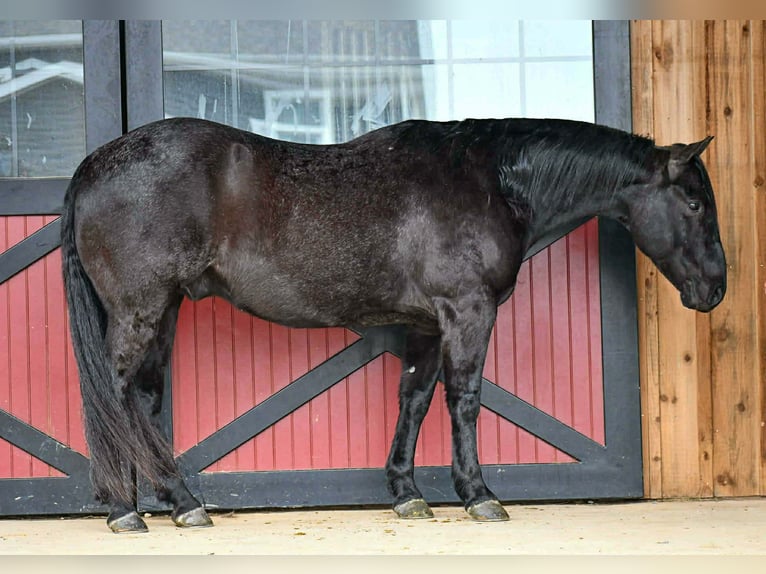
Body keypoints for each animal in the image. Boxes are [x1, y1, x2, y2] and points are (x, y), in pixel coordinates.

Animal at [61, 116, 726, 533]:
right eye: (694, 203)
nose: (717, 288)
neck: (489, 182)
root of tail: (94, 163)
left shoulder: (427, 325)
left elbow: (415, 398)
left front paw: (408, 494)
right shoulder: (467, 311)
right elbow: (464, 400)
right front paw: (479, 495)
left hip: (165, 310)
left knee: (145, 401)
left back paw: (179, 503)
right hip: (140, 311)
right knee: (115, 397)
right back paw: (127, 510)